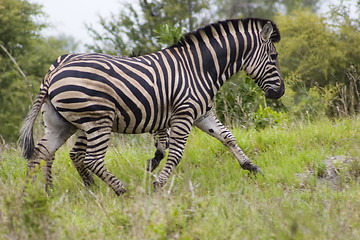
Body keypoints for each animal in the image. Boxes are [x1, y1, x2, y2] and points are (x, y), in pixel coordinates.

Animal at [19, 18, 286, 195]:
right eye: (273, 57)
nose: (280, 92)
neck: (199, 68)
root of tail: (52, 73)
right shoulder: (183, 114)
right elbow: (175, 153)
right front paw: (158, 184)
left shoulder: (202, 114)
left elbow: (228, 137)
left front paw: (252, 167)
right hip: (97, 120)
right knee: (90, 159)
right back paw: (122, 190)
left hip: (61, 123)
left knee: (40, 154)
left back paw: (34, 196)